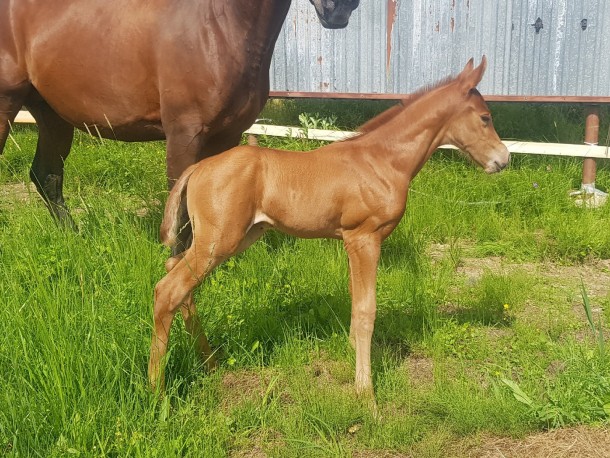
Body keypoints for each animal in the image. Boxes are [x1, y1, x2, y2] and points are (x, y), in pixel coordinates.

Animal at [148, 56, 508, 394]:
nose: (503, 159)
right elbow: (366, 309)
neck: (382, 160)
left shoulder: (351, 241)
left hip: (232, 238)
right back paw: (157, 389)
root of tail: (197, 168)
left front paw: (351, 356)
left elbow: (354, 300)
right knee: (168, 290)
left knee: (176, 276)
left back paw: (210, 363)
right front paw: (366, 392)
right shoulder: (365, 238)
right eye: (485, 117)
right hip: (219, 241)